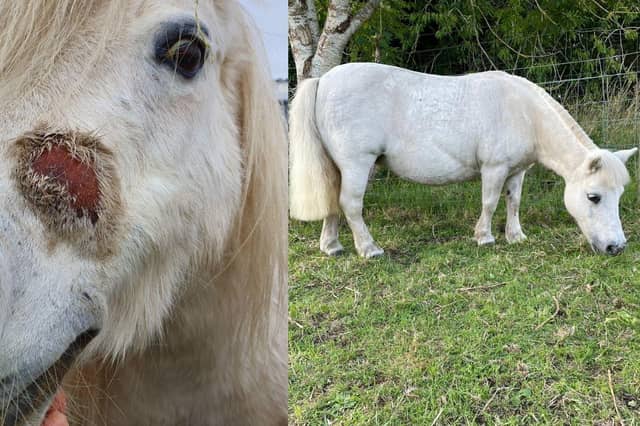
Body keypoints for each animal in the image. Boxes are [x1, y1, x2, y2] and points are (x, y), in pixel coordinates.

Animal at [289, 62, 637, 258]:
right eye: (593, 197)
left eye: (619, 196)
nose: (616, 248)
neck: (525, 112)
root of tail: (323, 81)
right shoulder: (494, 169)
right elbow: (490, 203)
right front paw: (485, 237)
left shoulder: (517, 171)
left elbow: (513, 202)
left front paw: (516, 237)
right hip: (357, 164)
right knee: (350, 204)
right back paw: (369, 249)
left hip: (337, 167)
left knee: (332, 200)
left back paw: (332, 246)